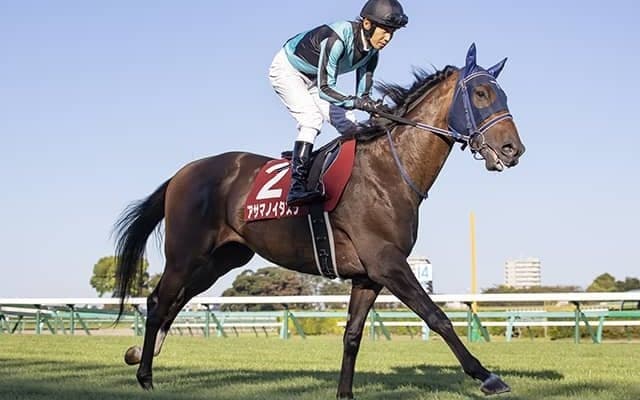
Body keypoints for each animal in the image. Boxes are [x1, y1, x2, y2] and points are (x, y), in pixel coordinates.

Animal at [114, 43, 525, 399]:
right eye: (481, 94)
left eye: (503, 96)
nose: (513, 149)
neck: (388, 170)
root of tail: (182, 173)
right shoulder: (388, 262)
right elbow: (437, 317)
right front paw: (488, 376)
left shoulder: (368, 275)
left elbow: (352, 335)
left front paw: (345, 392)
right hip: (186, 254)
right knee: (158, 301)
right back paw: (145, 374)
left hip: (223, 259)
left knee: (176, 300)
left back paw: (139, 355)